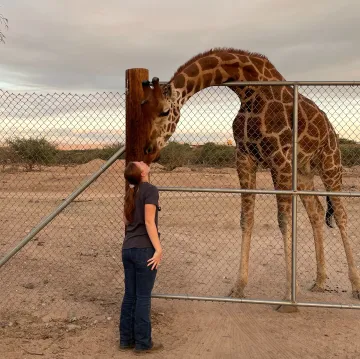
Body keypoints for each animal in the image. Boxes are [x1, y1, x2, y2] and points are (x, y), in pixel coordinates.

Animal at [139, 48, 360, 312]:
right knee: (316, 213)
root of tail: (332, 131)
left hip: (330, 164)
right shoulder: (244, 158)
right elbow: (247, 219)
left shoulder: (279, 159)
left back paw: (355, 286)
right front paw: (239, 287)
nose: (149, 149)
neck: (248, 90)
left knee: (341, 215)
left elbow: (284, 221)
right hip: (304, 172)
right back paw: (320, 280)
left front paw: (288, 298)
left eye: (164, 111)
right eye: (143, 110)